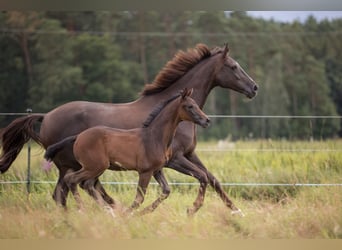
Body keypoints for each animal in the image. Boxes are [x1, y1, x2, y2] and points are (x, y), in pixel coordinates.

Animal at [44, 88, 210, 215]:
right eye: (190, 106)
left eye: (196, 104)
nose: (207, 120)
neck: (154, 137)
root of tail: (78, 136)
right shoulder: (145, 171)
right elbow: (139, 198)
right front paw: (128, 214)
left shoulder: (157, 170)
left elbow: (166, 190)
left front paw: (141, 213)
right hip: (95, 167)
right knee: (73, 180)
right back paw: (86, 209)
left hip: (96, 168)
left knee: (86, 184)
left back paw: (106, 211)